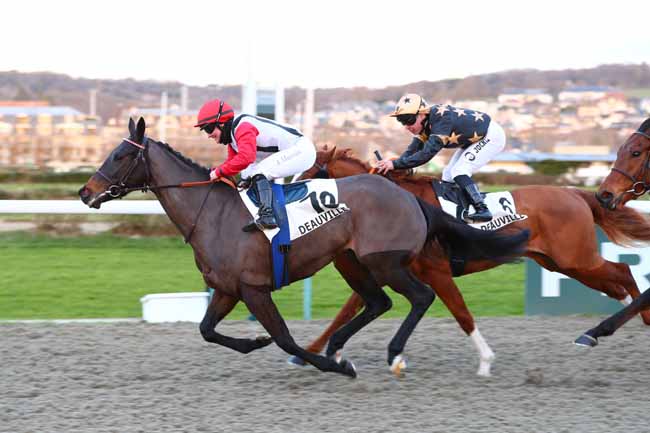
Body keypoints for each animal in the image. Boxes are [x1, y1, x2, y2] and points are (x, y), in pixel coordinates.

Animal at [78, 116, 528, 376]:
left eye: (120, 155)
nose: (86, 192)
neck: (211, 213)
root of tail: (408, 196)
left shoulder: (254, 289)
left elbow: (284, 338)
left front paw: (332, 365)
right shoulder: (227, 288)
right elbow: (207, 330)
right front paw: (256, 343)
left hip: (385, 262)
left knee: (421, 297)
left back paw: (390, 352)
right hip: (352, 262)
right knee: (379, 302)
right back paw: (342, 345)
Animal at [290, 143, 650, 372]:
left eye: (305, 176)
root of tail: (577, 194)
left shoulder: (436, 271)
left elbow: (461, 313)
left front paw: (485, 361)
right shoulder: (384, 269)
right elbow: (346, 310)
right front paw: (308, 354)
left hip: (576, 259)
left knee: (621, 271)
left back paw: (626, 322)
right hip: (560, 263)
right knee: (614, 283)